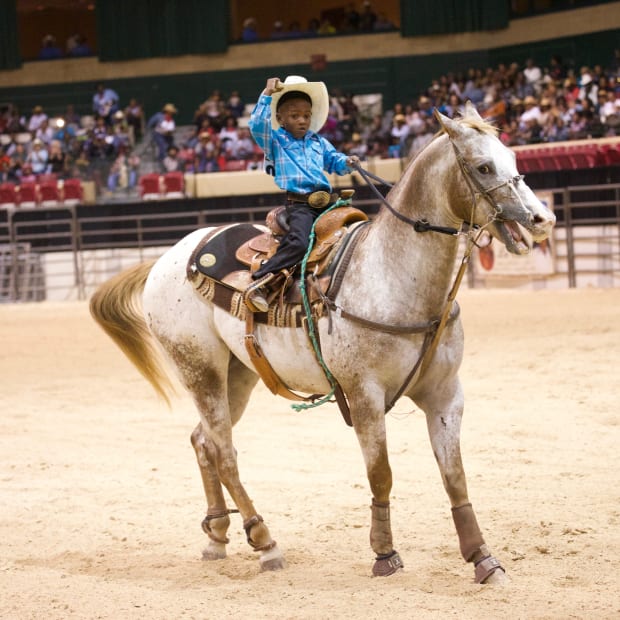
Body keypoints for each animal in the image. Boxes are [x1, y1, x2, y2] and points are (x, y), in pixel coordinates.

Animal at [89, 104, 556, 584]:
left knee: (204, 442)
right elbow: (381, 474)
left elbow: (455, 475)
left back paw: (217, 537)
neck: (393, 276)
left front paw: (483, 558)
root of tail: (165, 258)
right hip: (199, 368)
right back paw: (265, 542)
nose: (542, 221)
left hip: (237, 374)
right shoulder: (365, 395)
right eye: (483, 167)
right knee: (224, 451)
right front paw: (384, 554)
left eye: (513, 159)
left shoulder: (445, 395)